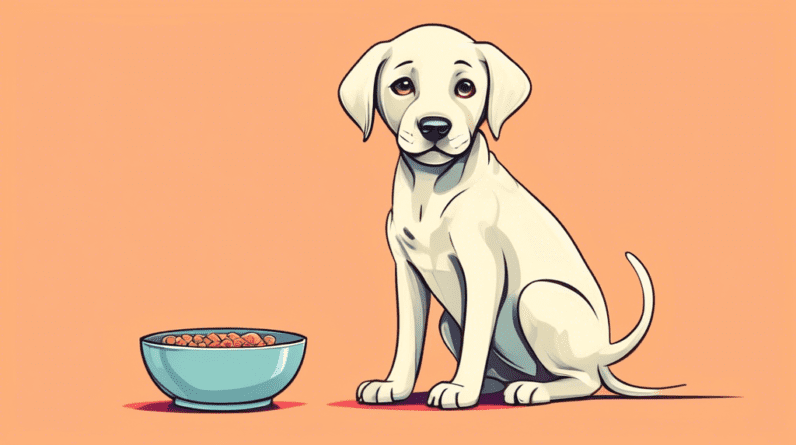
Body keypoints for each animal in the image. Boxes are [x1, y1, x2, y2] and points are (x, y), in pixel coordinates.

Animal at [338, 22, 676, 408]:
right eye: (403, 85)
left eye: (465, 88)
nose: (435, 127)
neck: (431, 188)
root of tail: (602, 353)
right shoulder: (406, 272)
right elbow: (409, 339)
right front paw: (395, 385)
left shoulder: (482, 267)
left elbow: (476, 336)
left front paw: (460, 390)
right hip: (448, 323)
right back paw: (491, 384)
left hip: (538, 296)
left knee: (584, 380)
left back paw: (533, 390)